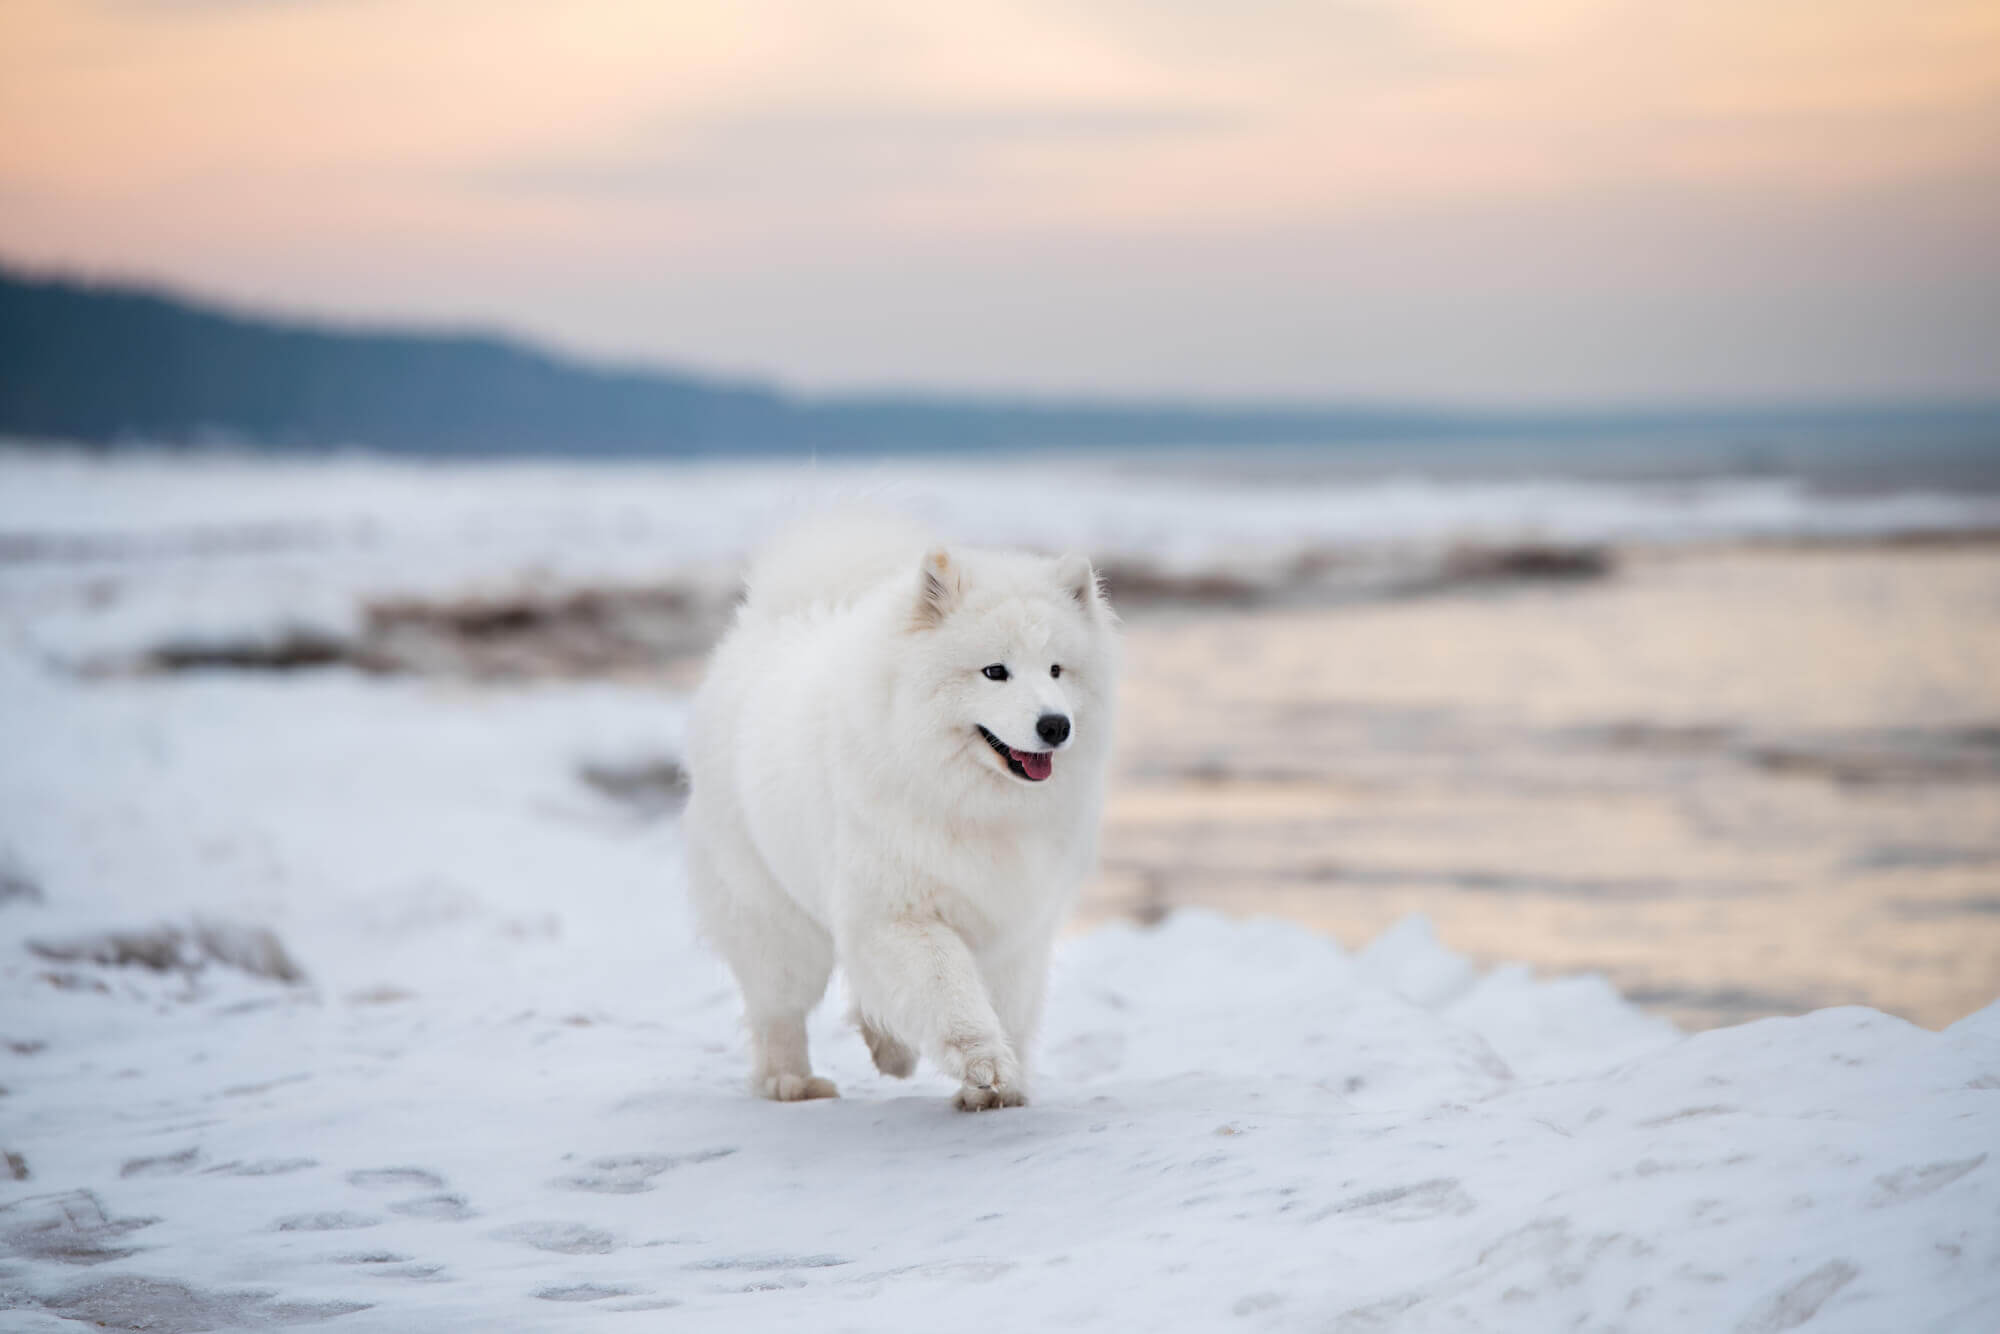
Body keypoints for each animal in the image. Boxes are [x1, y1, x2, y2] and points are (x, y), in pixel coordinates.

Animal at [684, 516, 1128, 1112]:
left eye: (1057, 670)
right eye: (995, 672)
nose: (1055, 724)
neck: (969, 803)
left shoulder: (1015, 922)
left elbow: (1007, 1005)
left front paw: (1000, 1088)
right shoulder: (899, 914)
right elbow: (949, 990)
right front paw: (984, 1064)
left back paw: (886, 1049)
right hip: (776, 921)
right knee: (779, 1006)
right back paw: (792, 1082)